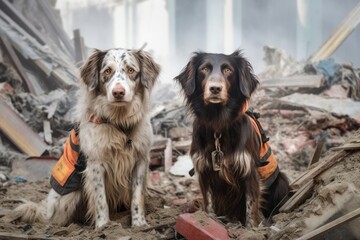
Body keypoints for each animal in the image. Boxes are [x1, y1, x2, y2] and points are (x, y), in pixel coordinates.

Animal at [174, 50, 290, 227]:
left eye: (228, 70)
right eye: (204, 69)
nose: (215, 88)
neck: (218, 125)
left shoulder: (248, 170)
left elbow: (251, 206)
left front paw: (251, 229)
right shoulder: (204, 169)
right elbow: (208, 202)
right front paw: (209, 220)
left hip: (281, 181)